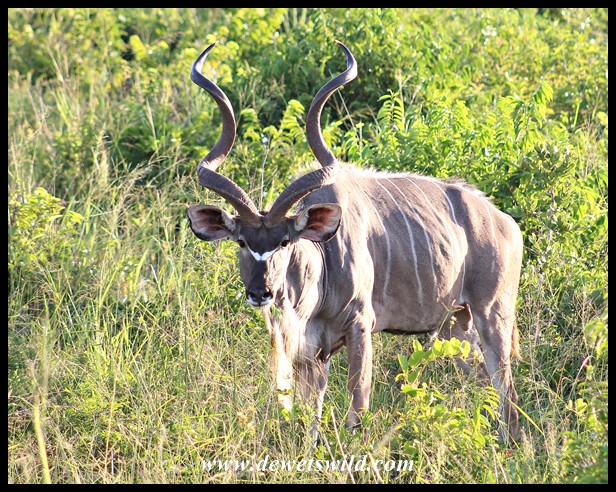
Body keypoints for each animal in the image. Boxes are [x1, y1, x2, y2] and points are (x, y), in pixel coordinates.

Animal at [187, 40, 523, 442]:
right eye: (240, 241)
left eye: (285, 242)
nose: (260, 292)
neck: (323, 265)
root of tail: (506, 224)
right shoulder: (311, 352)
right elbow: (311, 417)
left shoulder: (361, 327)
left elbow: (358, 406)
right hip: (455, 325)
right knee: (486, 386)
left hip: (493, 315)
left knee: (507, 391)